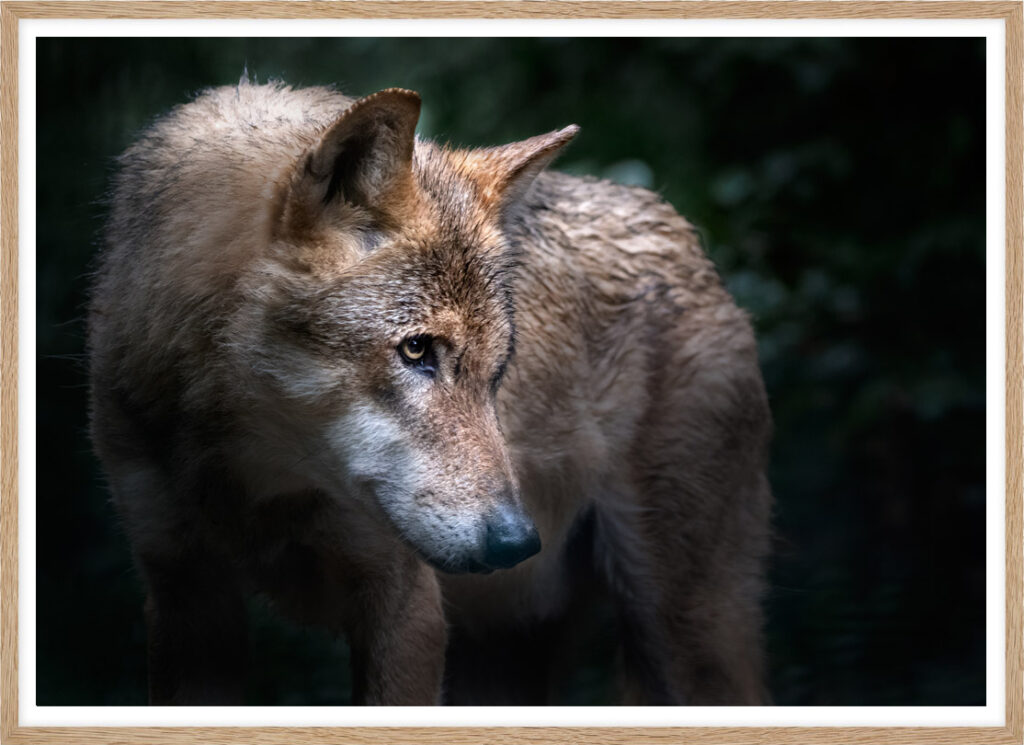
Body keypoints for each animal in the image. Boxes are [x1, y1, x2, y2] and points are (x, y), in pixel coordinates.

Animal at [88, 80, 772, 706]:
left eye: (497, 370)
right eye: (417, 350)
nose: (516, 543)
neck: (254, 477)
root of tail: (686, 236)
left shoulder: (407, 607)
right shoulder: (185, 595)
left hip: (684, 635)